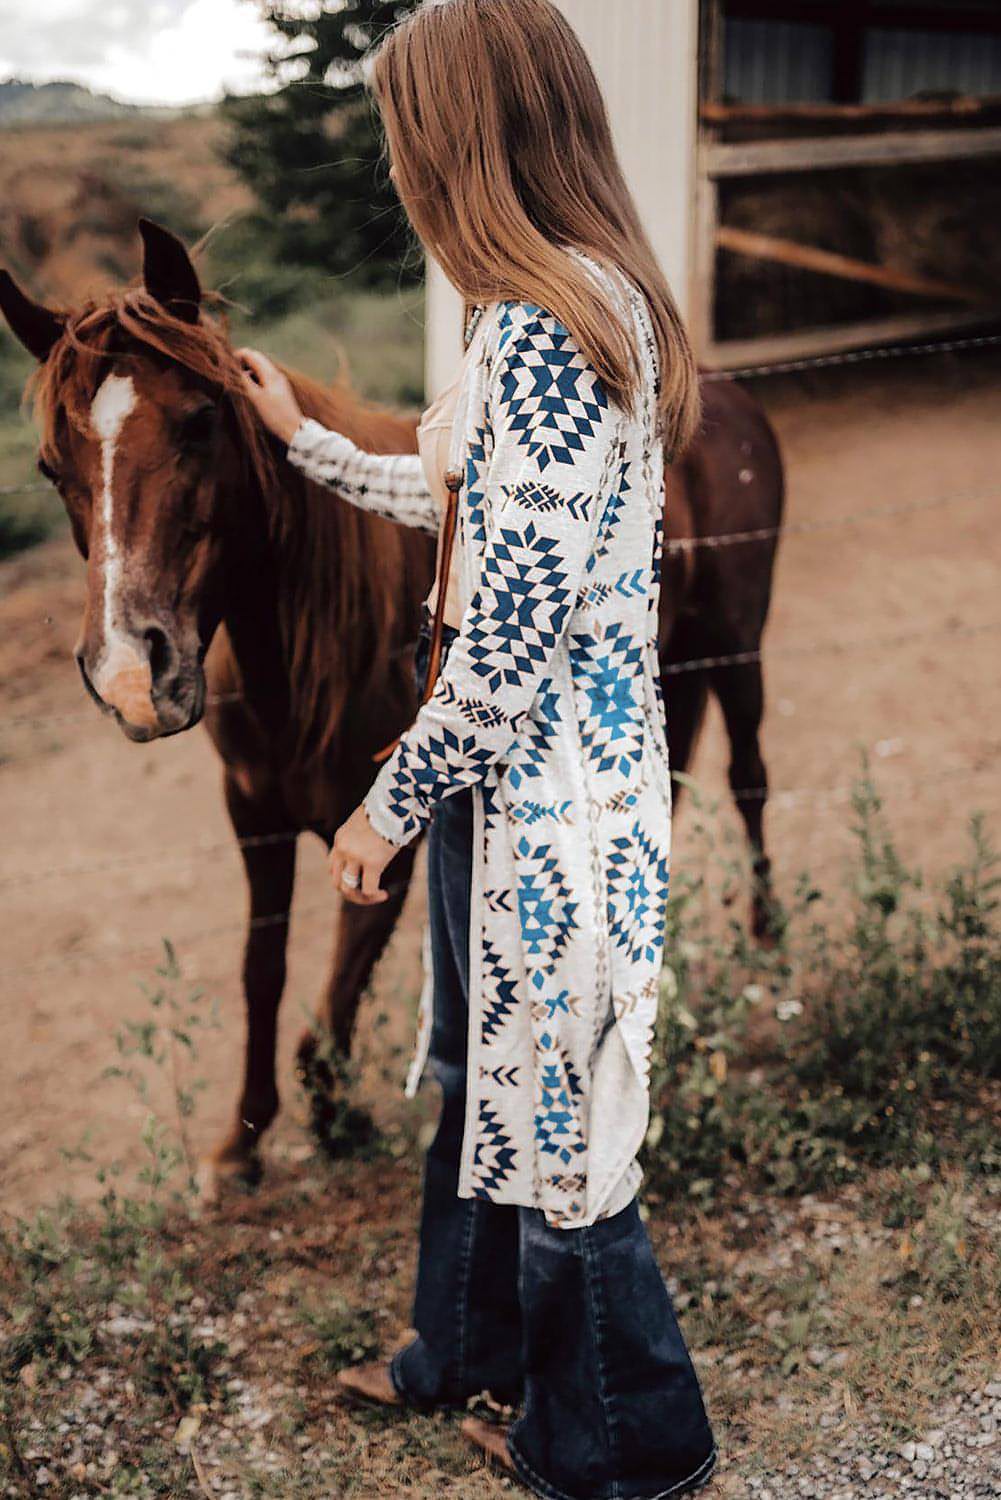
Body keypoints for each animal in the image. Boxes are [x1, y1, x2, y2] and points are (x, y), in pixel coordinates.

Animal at [0, 217, 780, 1194]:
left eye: (200, 421)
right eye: (51, 466)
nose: (130, 677)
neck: (300, 662)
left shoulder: (383, 837)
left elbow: (334, 993)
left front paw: (335, 1116)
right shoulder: (252, 817)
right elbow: (263, 971)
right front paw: (243, 1140)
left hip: (737, 649)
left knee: (748, 779)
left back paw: (766, 941)